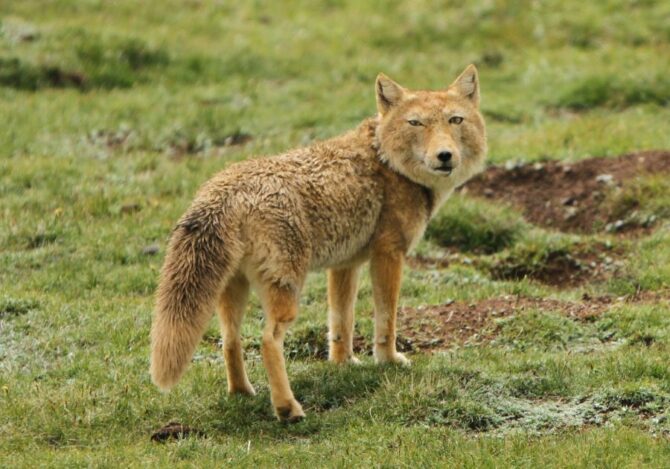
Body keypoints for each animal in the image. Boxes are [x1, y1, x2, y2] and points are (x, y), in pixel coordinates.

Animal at [150, 65, 487, 422]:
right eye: (416, 123)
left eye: (455, 120)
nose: (445, 156)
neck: (386, 159)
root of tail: (224, 188)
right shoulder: (389, 254)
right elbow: (387, 319)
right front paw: (389, 361)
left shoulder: (345, 265)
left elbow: (341, 321)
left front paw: (343, 363)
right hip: (287, 294)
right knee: (267, 341)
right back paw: (288, 409)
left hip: (233, 293)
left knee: (230, 340)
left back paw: (242, 392)